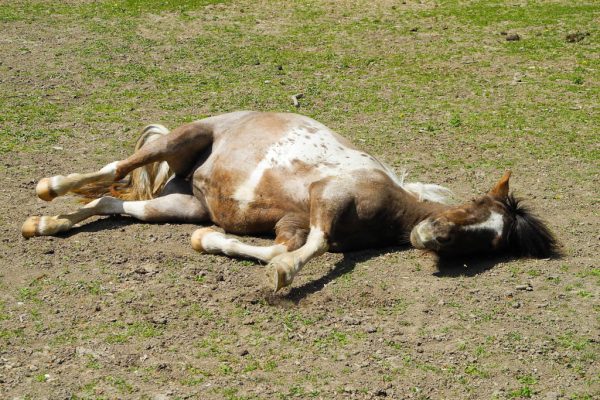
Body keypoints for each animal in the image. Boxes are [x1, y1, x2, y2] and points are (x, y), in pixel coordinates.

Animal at [21, 111, 560, 292]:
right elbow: (313, 246)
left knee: (111, 206)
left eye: (485, 245)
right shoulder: (328, 198)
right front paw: (282, 277)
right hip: (181, 139)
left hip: (176, 206)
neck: (389, 208)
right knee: (114, 170)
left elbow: (281, 246)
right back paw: (49, 189)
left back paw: (46, 224)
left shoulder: (290, 223)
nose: (429, 235)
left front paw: (210, 241)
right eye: (470, 207)